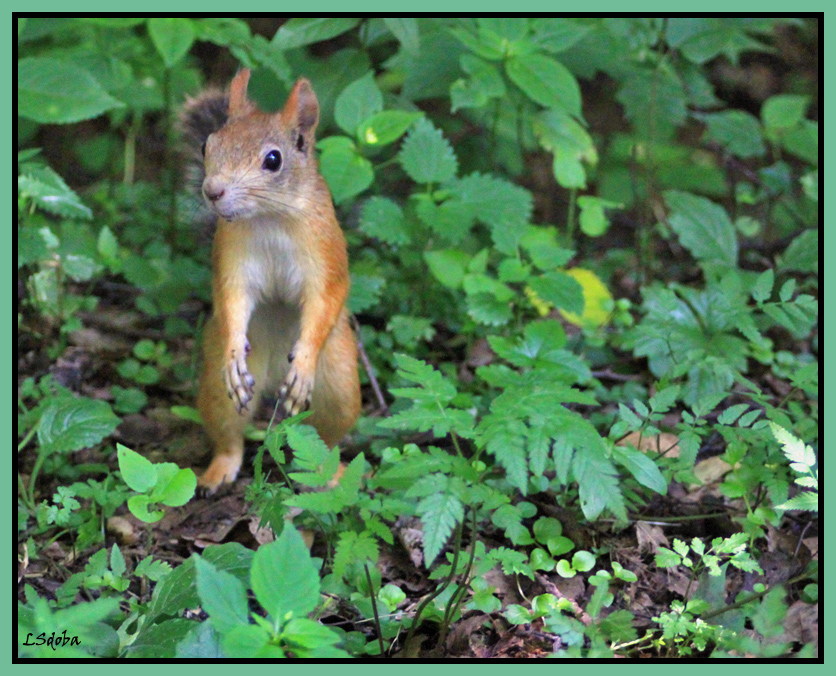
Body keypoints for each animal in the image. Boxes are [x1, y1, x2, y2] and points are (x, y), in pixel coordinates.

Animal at [180, 68, 362, 492]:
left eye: (273, 159)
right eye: (207, 144)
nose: (213, 191)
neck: (269, 217)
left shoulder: (325, 253)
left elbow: (326, 297)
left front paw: (305, 359)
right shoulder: (231, 259)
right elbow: (231, 299)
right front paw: (234, 350)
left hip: (340, 379)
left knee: (327, 434)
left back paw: (331, 473)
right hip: (218, 388)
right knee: (228, 431)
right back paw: (218, 471)